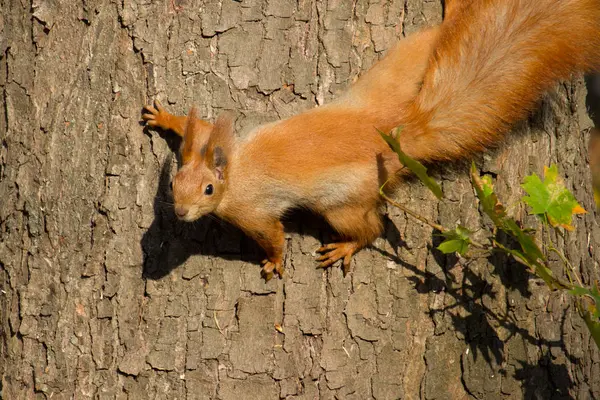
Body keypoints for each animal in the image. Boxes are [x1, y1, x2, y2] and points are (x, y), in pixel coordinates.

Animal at [142, 0, 600, 280]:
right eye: (174, 183)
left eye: (208, 190)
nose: (179, 213)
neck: (233, 170)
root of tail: (395, 138)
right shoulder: (214, 142)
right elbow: (197, 127)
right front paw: (164, 117)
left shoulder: (252, 212)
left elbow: (274, 235)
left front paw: (273, 261)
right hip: (392, 75)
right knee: (431, 37)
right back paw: (450, 12)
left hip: (344, 203)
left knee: (373, 228)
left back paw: (345, 248)